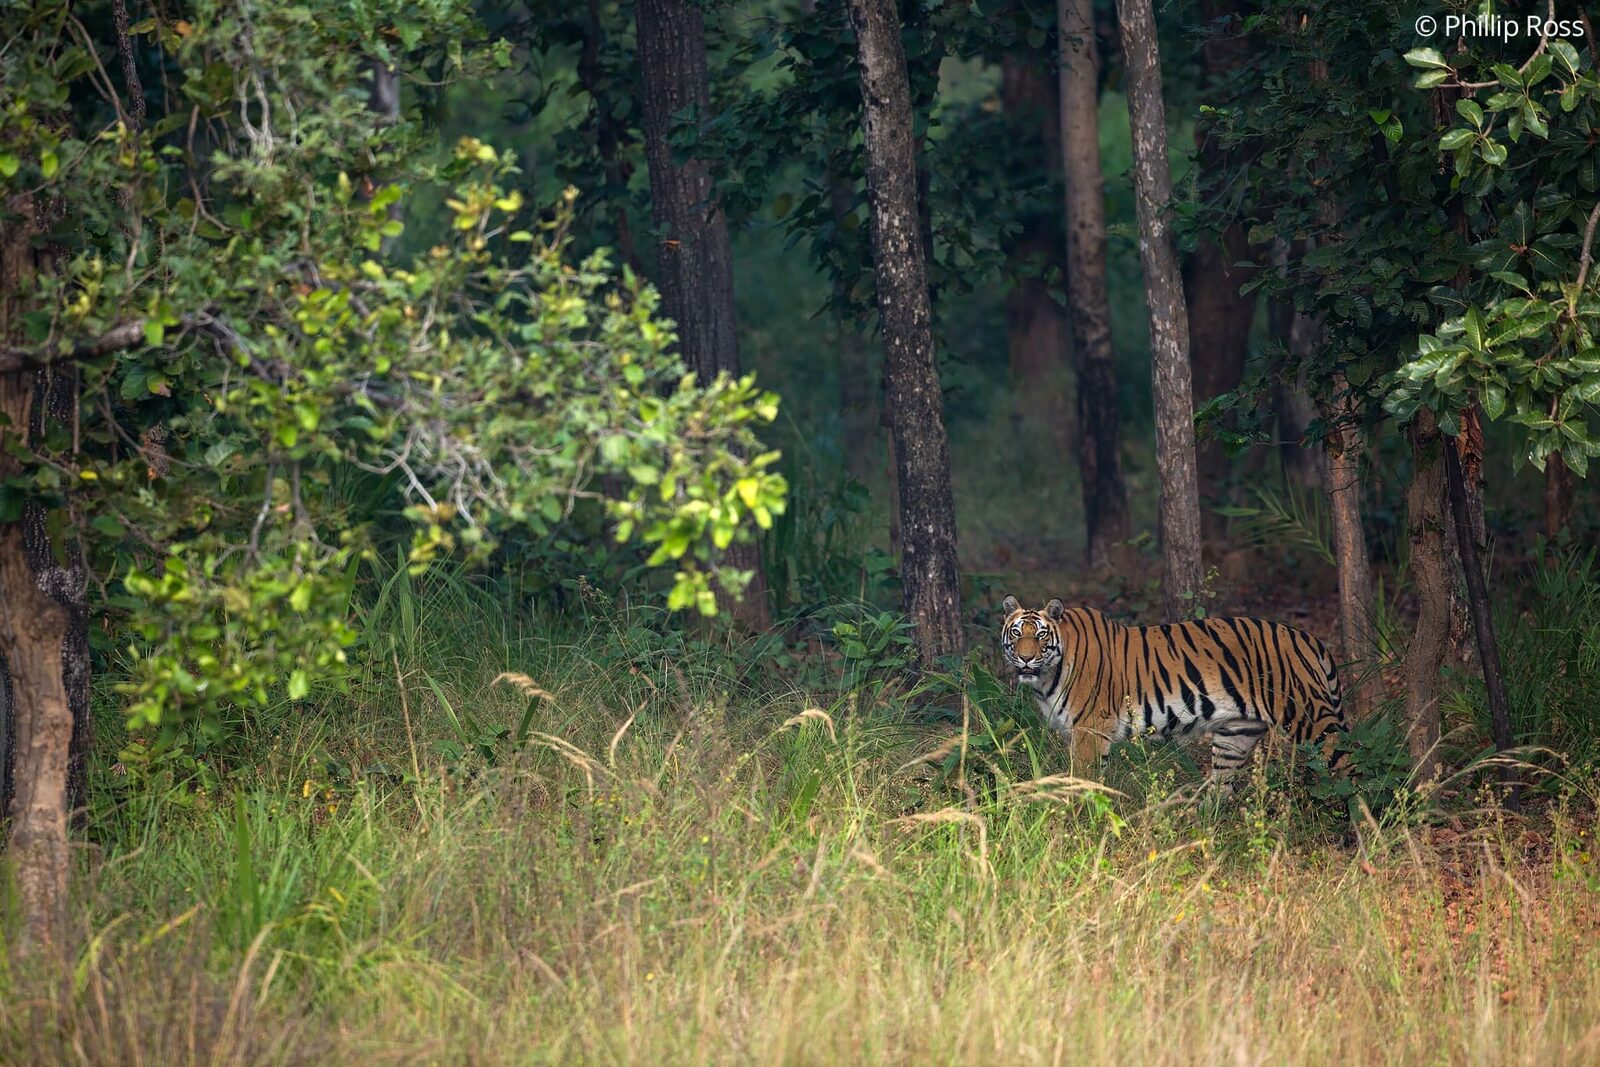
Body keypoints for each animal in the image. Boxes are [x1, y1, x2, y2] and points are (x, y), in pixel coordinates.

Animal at [998, 595, 1349, 787]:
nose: (1025, 657)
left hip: (1308, 717)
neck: (1046, 677)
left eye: (1041, 635)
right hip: (1236, 734)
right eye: (1016, 634)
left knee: (1348, 761)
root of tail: (1307, 638)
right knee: (1222, 785)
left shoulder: (1090, 730)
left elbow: (1083, 778)